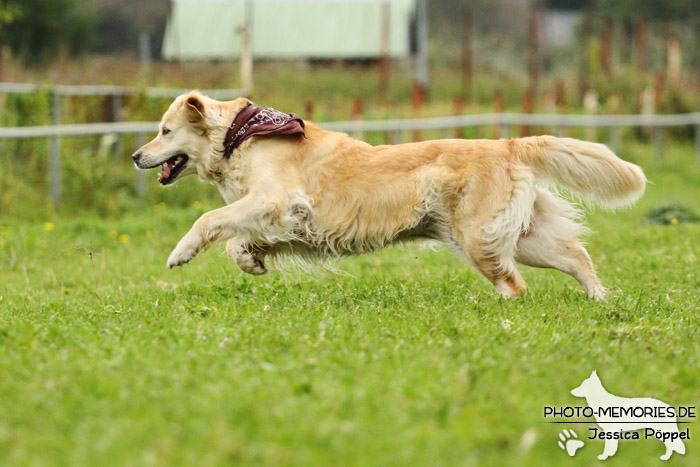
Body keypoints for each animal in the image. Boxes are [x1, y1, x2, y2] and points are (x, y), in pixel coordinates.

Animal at [131, 92, 644, 300]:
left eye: (164, 131)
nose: (137, 155)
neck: (240, 136)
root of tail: (507, 143)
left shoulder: (277, 200)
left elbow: (209, 220)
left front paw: (180, 253)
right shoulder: (277, 214)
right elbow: (237, 239)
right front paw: (251, 260)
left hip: (480, 239)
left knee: (516, 286)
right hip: (520, 237)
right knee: (576, 256)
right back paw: (601, 299)